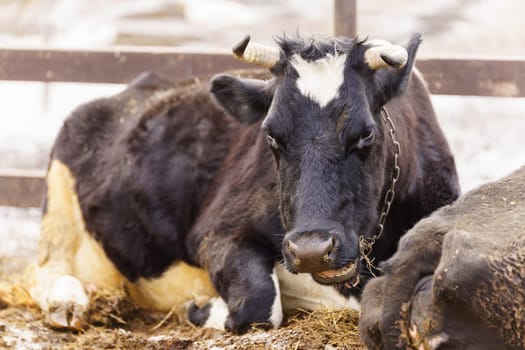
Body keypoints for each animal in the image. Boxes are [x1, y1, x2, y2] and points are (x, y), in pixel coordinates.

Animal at [29, 32, 458, 334]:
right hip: (59, 201)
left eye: (366, 133)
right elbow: (259, 303)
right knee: (47, 267)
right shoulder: (217, 233)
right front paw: (203, 309)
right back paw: (67, 303)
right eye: (271, 136)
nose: (311, 250)